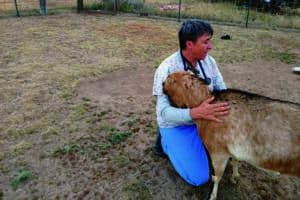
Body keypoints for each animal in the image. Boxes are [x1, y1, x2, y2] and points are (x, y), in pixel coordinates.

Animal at [164, 72, 300, 200]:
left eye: (173, 80)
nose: (162, 84)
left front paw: (212, 195)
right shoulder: (231, 149)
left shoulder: (218, 152)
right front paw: (235, 177)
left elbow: (218, 176)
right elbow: (235, 160)